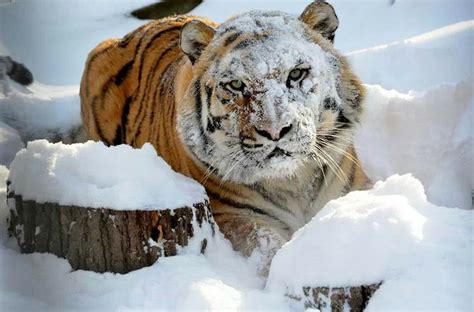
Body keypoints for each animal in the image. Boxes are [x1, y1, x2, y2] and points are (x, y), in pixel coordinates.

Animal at [80, 0, 370, 272]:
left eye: (296, 74)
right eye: (236, 85)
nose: (275, 131)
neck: (292, 182)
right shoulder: (230, 216)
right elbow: (264, 243)